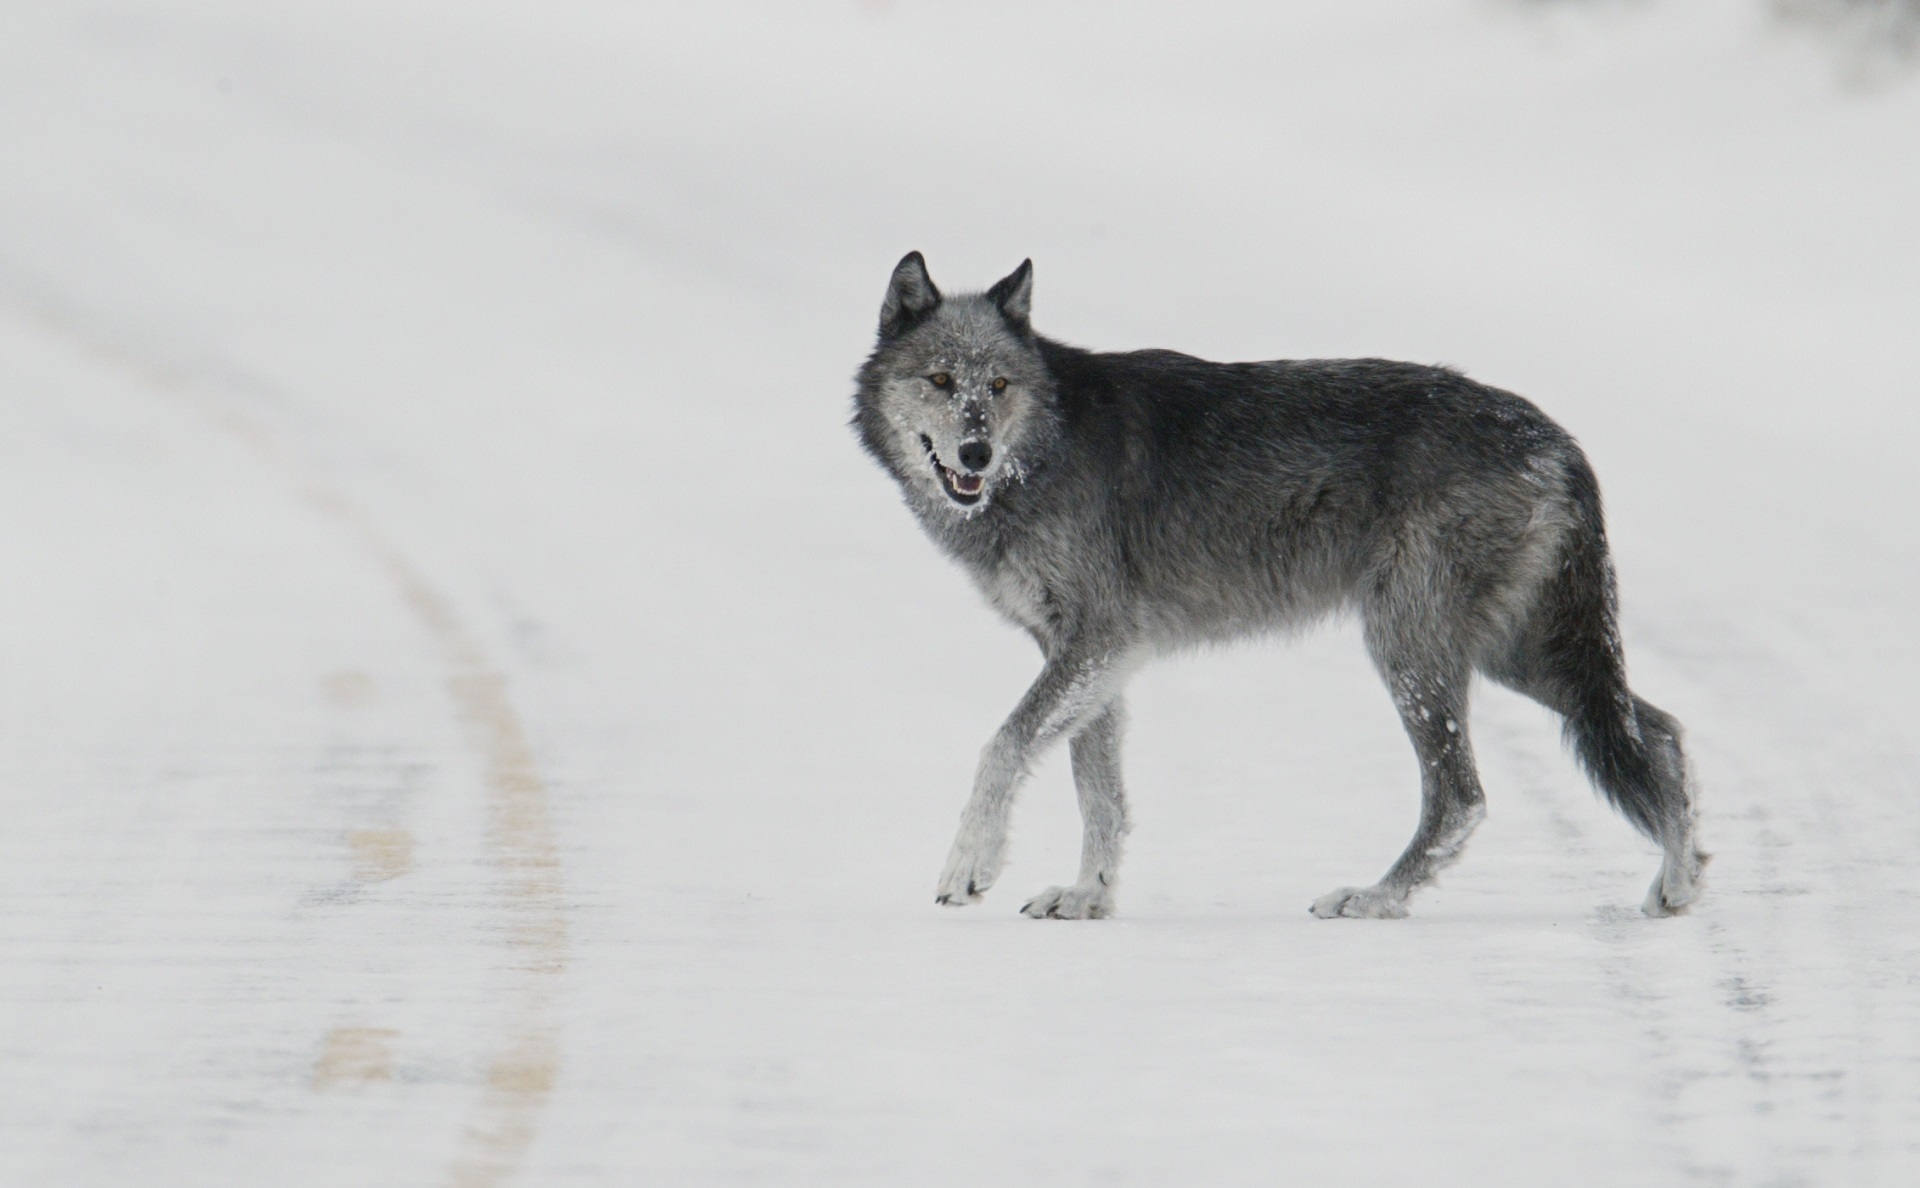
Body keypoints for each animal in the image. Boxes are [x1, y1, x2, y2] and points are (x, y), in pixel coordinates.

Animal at [856, 251, 1712, 921]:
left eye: (998, 386)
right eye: (941, 380)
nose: (974, 453)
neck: (1046, 447)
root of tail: (1556, 438)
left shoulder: (1099, 640)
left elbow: (1002, 746)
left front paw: (969, 867)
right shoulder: (1090, 656)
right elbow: (1098, 792)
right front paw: (1088, 897)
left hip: (1414, 650)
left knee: (1462, 797)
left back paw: (1374, 898)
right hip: (1519, 656)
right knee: (1662, 729)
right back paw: (1678, 884)